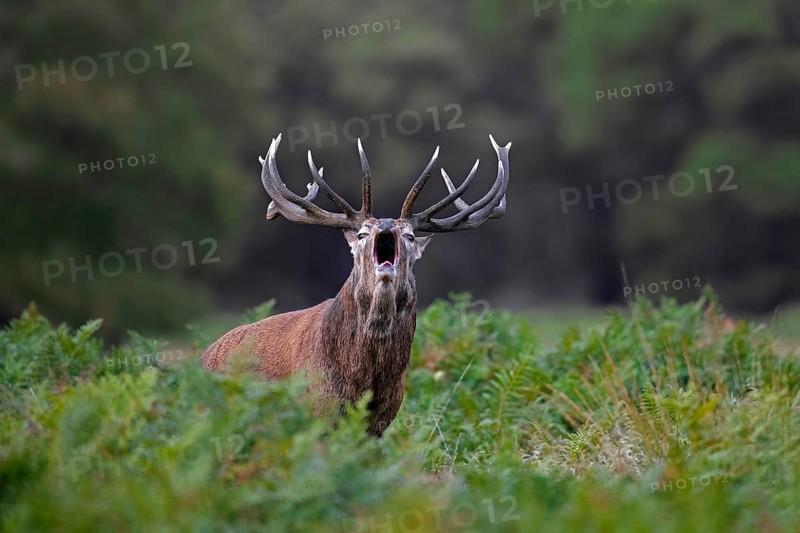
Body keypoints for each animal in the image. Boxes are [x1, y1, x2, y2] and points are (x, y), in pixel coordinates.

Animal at [201, 133, 510, 436]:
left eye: (410, 235)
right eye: (362, 233)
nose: (385, 224)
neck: (363, 380)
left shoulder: (381, 421)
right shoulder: (318, 412)